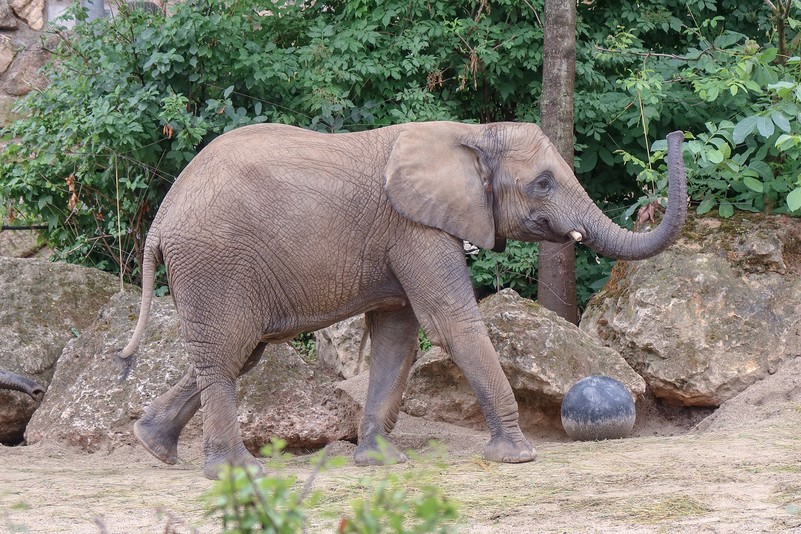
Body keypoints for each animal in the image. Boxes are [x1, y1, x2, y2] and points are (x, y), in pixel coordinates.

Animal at [115, 121, 684, 482]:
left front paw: (380, 464)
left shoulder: (405, 235)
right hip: (215, 263)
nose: (676, 136)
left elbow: (397, 335)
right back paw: (236, 472)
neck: (473, 132)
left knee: (238, 354)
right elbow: (450, 323)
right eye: (542, 183)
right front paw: (519, 458)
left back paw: (152, 445)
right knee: (227, 353)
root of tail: (161, 219)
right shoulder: (415, 227)